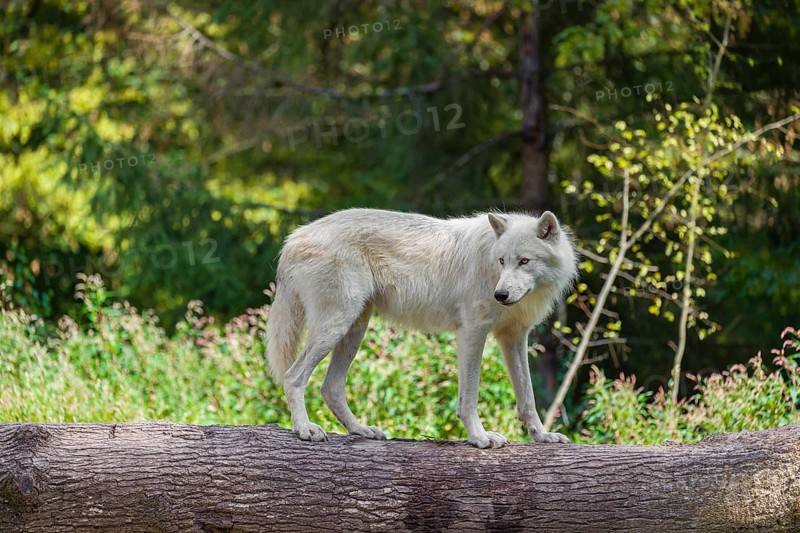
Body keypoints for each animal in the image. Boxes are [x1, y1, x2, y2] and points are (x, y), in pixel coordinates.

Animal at [266, 208, 578, 448]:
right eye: (502, 261)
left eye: (524, 261)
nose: (500, 295)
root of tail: (293, 238)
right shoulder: (472, 332)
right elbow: (470, 396)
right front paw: (479, 437)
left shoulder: (513, 337)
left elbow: (528, 397)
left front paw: (543, 437)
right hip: (336, 326)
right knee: (293, 377)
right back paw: (305, 428)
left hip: (353, 330)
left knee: (330, 387)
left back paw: (360, 430)